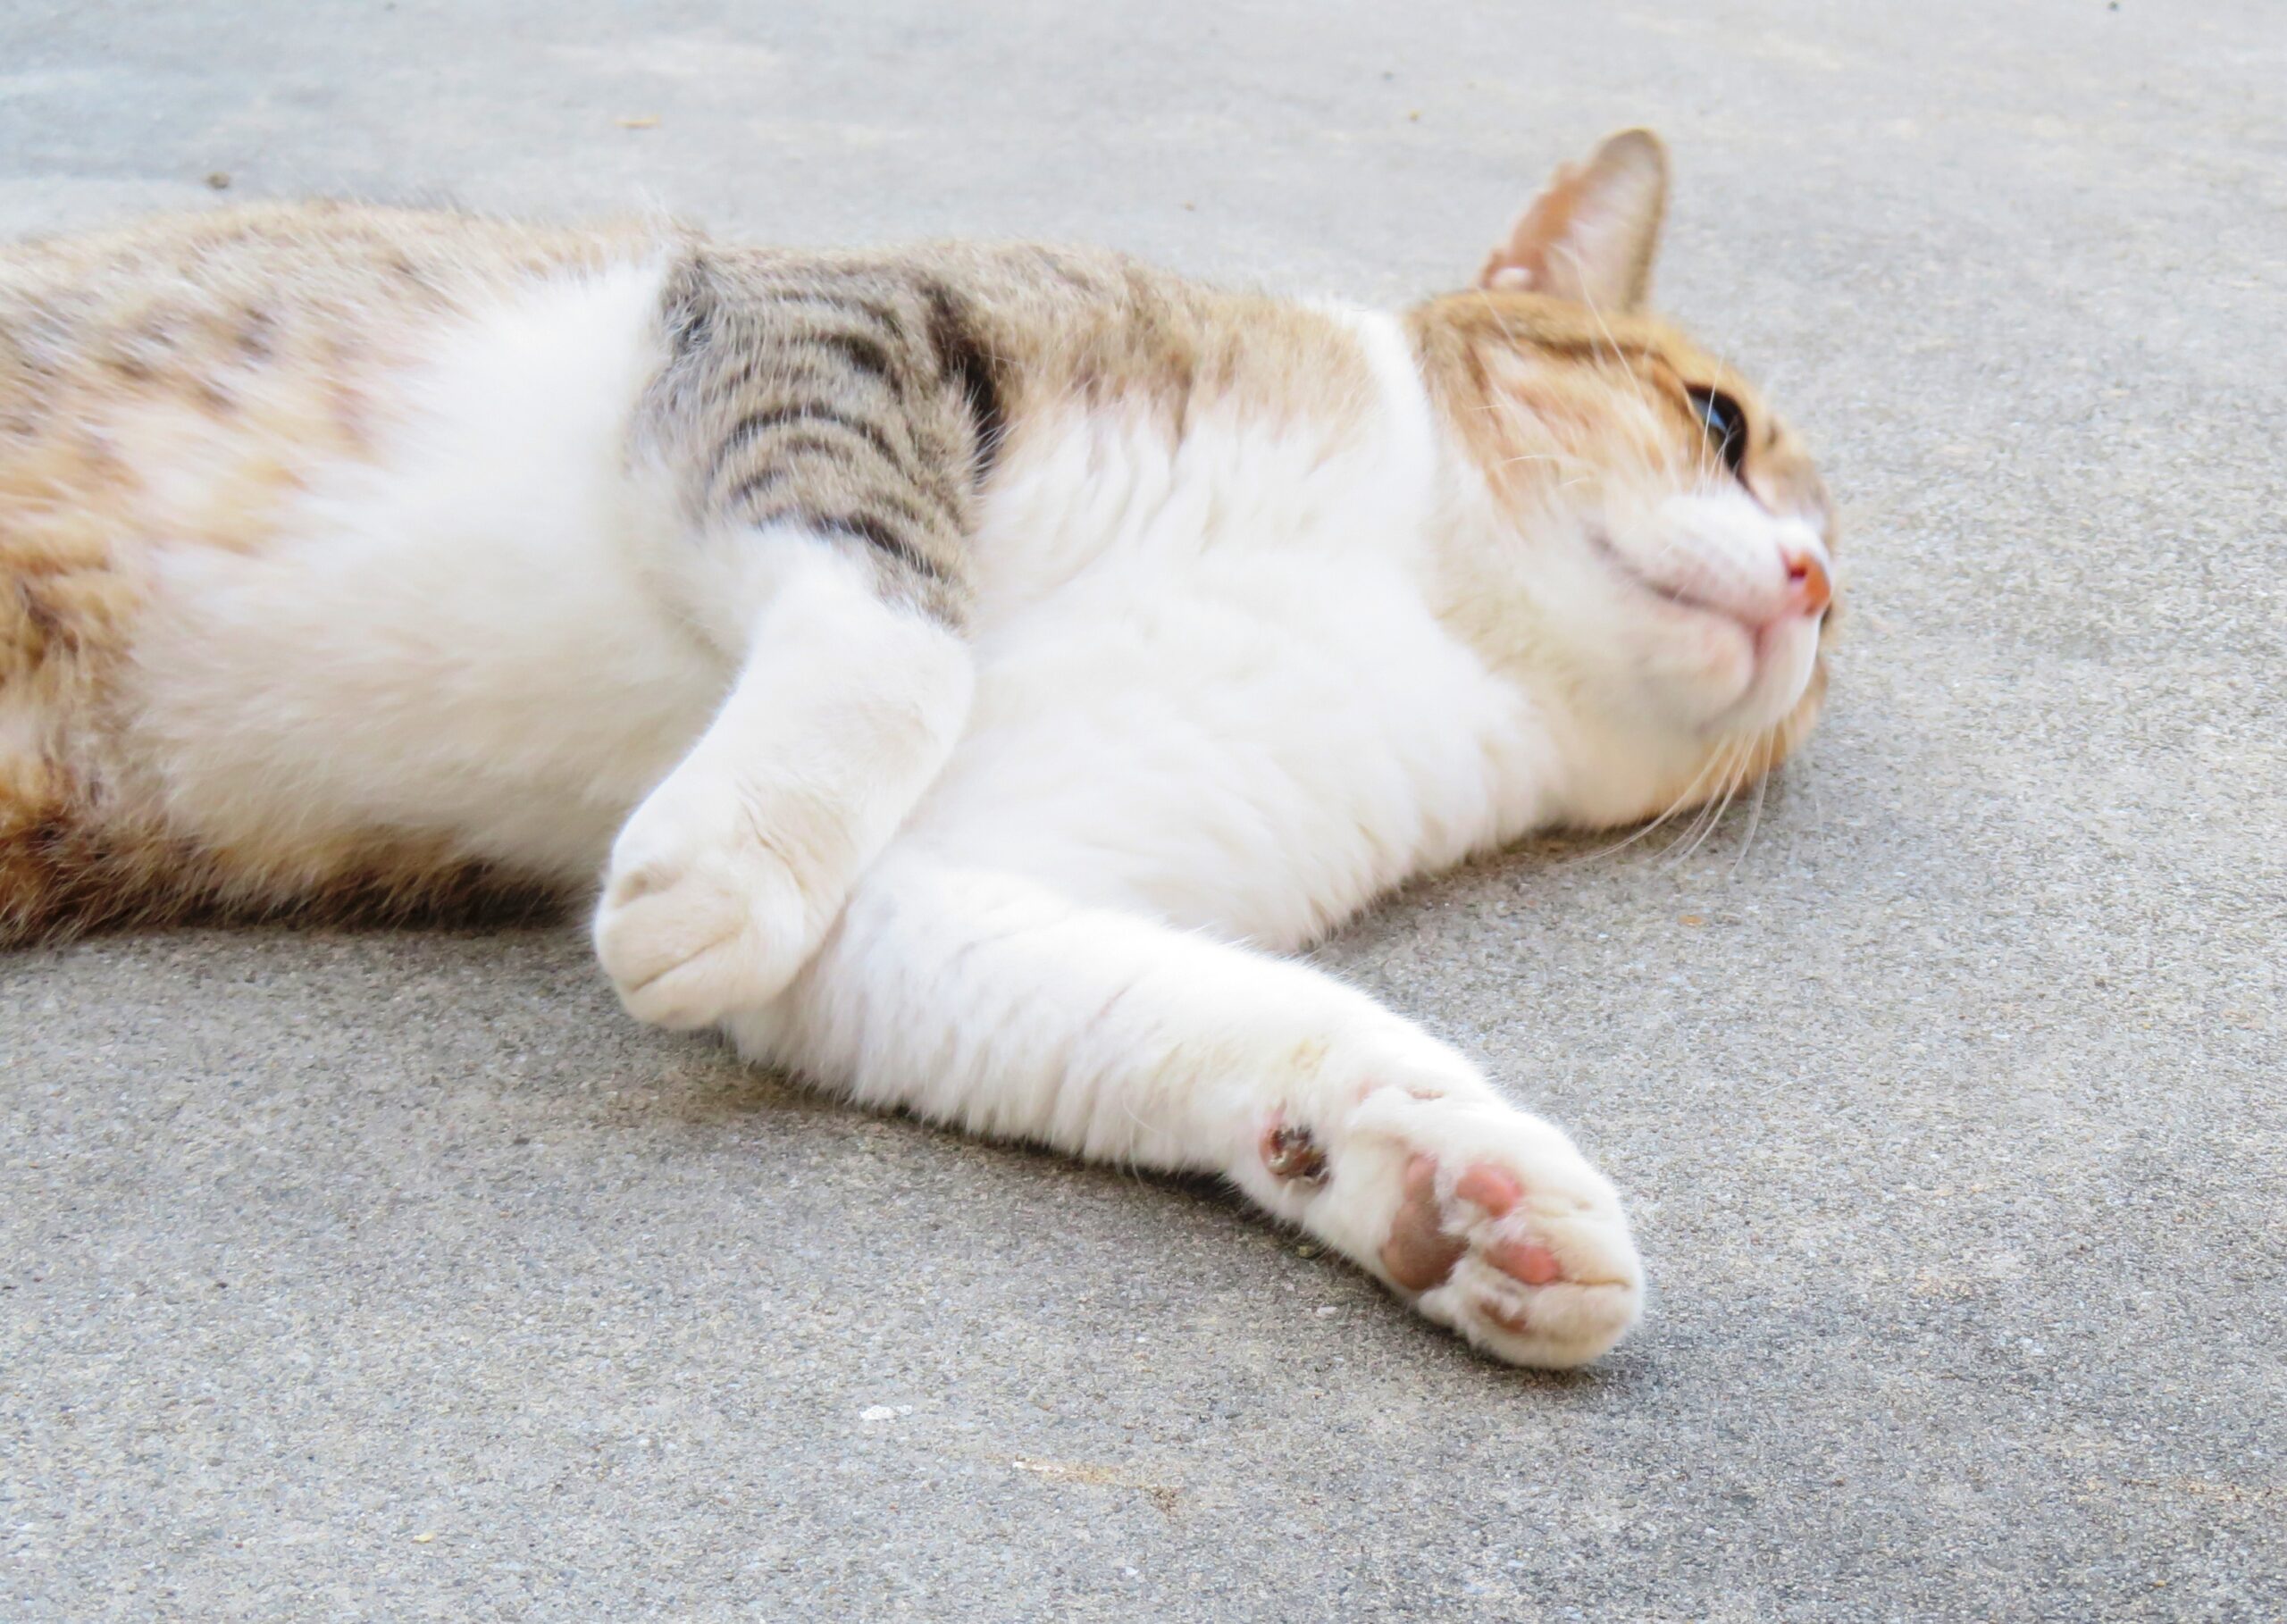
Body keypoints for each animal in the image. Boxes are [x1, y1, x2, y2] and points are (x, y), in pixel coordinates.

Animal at [0, 130, 1820, 1372]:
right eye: (1718, 423)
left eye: (1840, 615)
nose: (1811, 584)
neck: (1419, 579)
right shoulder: (842, 320)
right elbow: (905, 627)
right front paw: (726, 865)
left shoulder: (932, 899)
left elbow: (1190, 1015)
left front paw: (1450, 1189)